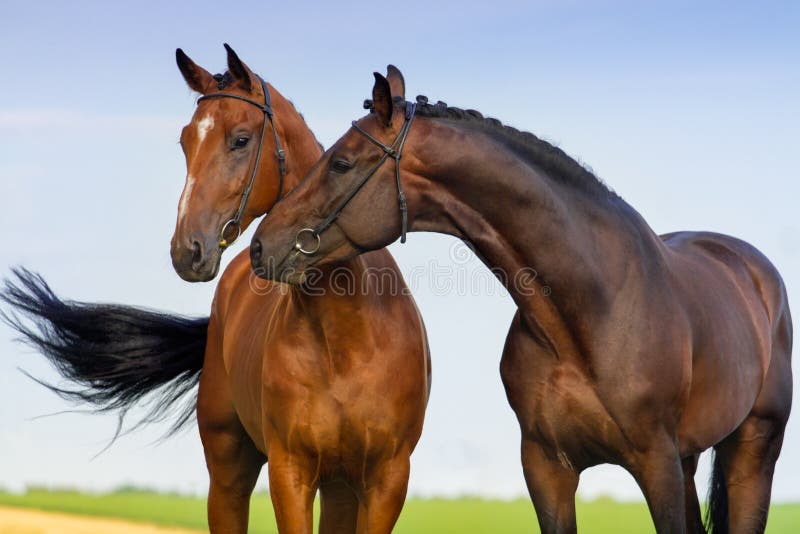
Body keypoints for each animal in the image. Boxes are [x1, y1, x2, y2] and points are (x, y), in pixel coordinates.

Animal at [1, 48, 432, 532]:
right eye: (186, 141)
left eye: (240, 140)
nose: (187, 250)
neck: (348, 336)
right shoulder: (291, 472)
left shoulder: (386, 481)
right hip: (229, 472)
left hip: (339, 489)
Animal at [250, 67, 792, 534]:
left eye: (341, 163)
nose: (261, 246)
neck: (591, 314)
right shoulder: (546, 466)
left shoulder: (656, 463)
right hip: (690, 459)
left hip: (752, 450)